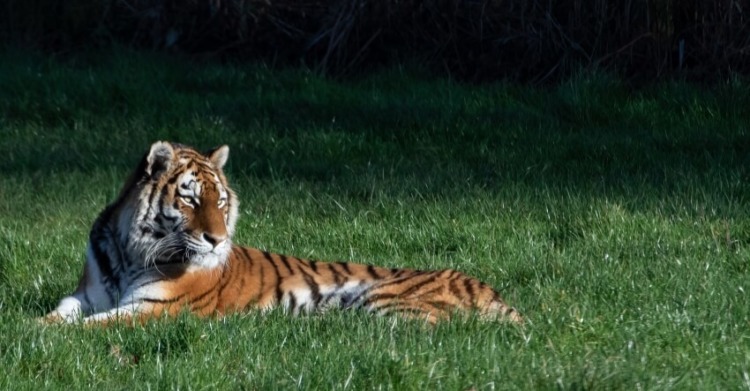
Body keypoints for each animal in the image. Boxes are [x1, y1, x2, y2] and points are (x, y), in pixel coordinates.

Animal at [39, 142, 524, 326]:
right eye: (191, 200)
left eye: (220, 202)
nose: (217, 240)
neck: (129, 252)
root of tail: (491, 290)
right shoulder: (87, 294)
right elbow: (61, 312)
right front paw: (36, 327)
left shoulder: (155, 310)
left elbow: (93, 326)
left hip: (386, 301)